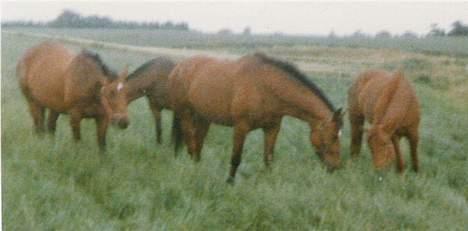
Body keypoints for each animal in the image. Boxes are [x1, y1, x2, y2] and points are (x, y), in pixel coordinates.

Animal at [168, 52, 344, 182]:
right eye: (333, 136)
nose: (336, 167)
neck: (265, 87)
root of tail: (179, 67)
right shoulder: (241, 127)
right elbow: (236, 158)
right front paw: (230, 182)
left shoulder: (272, 128)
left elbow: (268, 158)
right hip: (186, 114)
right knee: (191, 144)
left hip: (203, 118)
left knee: (198, 145)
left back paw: (198, 167)